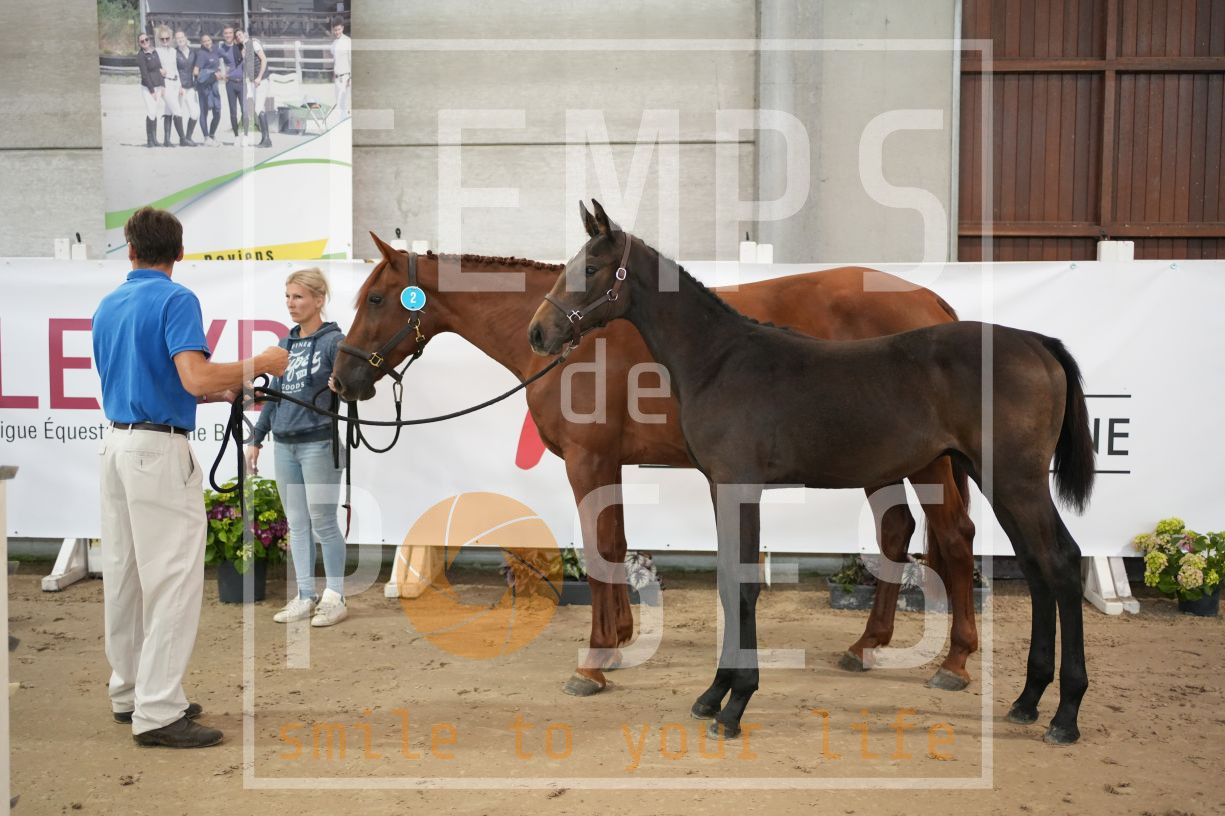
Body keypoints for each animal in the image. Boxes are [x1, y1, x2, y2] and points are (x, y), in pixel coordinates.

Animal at [332, 231, 978, 698]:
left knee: (953, 536)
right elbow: (615, 545)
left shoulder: (588, 462)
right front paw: (618, 642)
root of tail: (931, 301)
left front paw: (593, 662)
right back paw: (867, 644)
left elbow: (598, 551)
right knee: (897, 531)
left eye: (376, 298)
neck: (577, 339)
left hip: (927, 465)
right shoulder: (608, 464)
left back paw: (953, 661)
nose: (342, 379)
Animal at [527, 200, 1095, 745]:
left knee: (1061, 562)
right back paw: (1026, 700)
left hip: (1013, 481)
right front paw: (714, 694)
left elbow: (741, 585)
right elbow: (729, 582)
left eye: (591, 268)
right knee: (1037, 568)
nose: (539, 332)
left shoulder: (738, 486)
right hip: (997, 480)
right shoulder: (719, 488)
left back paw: (1064, 714)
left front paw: (734, 704)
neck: (719, 361)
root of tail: (1038, 343)